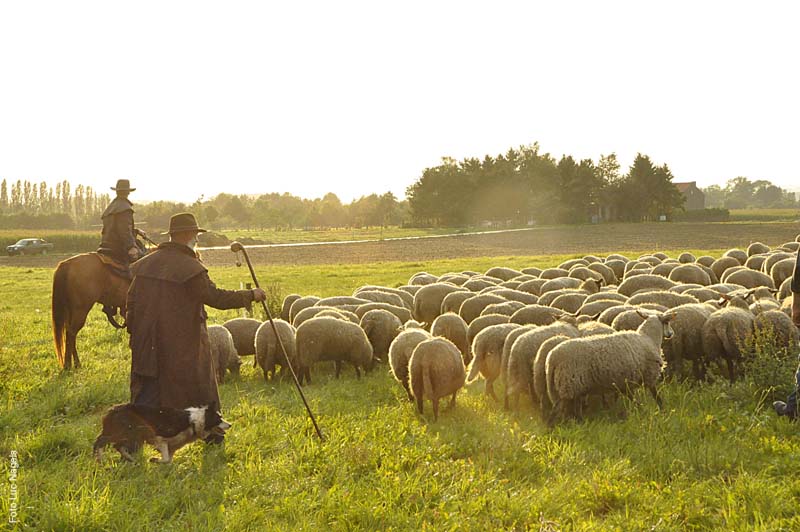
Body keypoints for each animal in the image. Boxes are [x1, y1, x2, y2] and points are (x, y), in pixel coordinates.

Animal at [95, 402, 231, 464]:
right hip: (128, 432)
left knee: (117, 446)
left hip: (132, 436)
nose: (230, 424)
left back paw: (131, 459)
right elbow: (165, 459)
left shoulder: (173, 447)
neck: (193, 422)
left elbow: (168, 460)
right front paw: (154, 459)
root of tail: (112, 409)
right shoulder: (161, 438)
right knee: (100, 440)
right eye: (219, 419)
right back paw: (100, 459)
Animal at [544, 312, 676, 424]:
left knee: (572, 409)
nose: (671, 333)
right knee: (556, 411)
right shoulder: (649, 375)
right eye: (667, 322)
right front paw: (662, 411)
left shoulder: (625, 382)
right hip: (568, 383)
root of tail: (552, 358)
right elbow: (657, 397)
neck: (649, 338)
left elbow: (633, 399)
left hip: (572, 385)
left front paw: (640, 410)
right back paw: (552, 427)